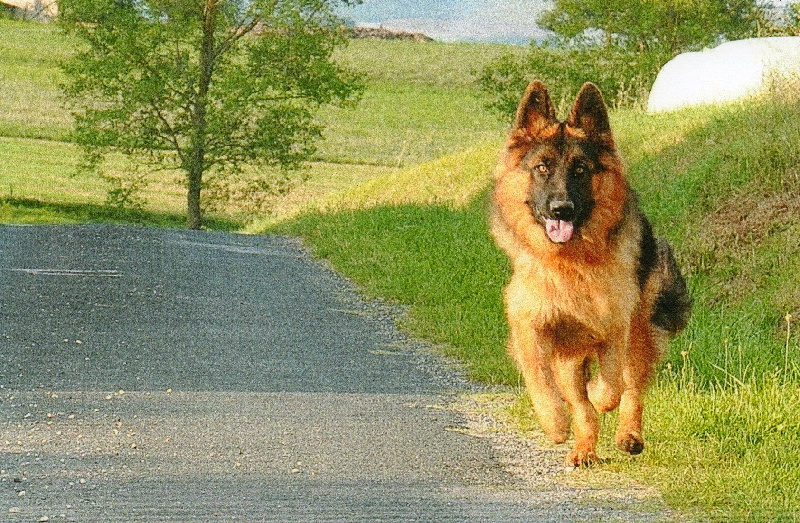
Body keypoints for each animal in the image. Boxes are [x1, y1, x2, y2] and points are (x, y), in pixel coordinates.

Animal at [490, 82, 692, 466]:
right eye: (541, 168)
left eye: (581, 169)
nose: (561, 209)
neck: (571, 263)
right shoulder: (530, 326)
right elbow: (541, 379)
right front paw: (555, 423)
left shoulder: (614, 326)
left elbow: (612, 385)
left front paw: (600, 394)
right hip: (569, 357)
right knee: (580, 405)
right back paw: (583, 448)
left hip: (639, 334)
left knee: (631, 387)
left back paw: (628, 435)